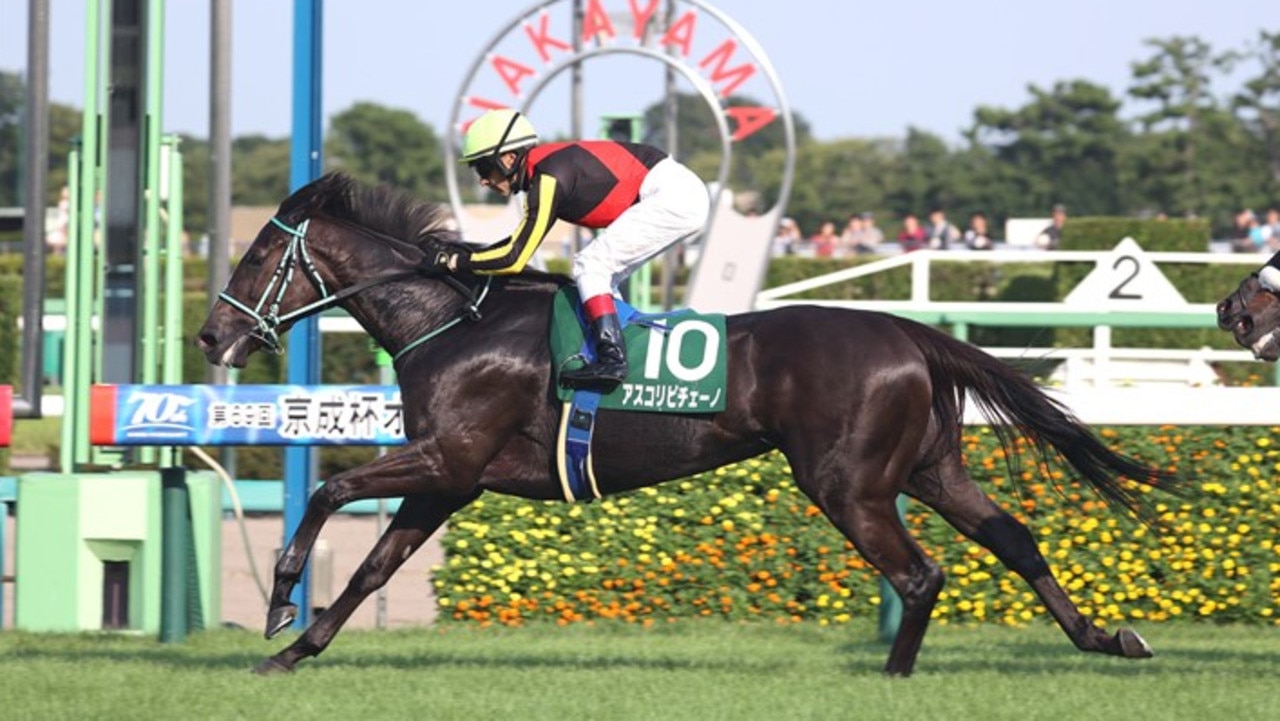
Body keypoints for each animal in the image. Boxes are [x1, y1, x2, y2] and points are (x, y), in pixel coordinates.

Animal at [197, 172, 1177, 676]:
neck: (455, 320)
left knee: (921, 570)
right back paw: (1106, 636)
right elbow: (373, 565)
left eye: (258, 253)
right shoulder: (450, 477)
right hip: (926, 465)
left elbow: (329, 490)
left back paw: (896, 675)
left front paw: (279, 604)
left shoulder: (446, 456)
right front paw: (295, 649)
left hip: (848, 481)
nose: (210, 334)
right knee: (1013, 537)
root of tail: (905, 329)